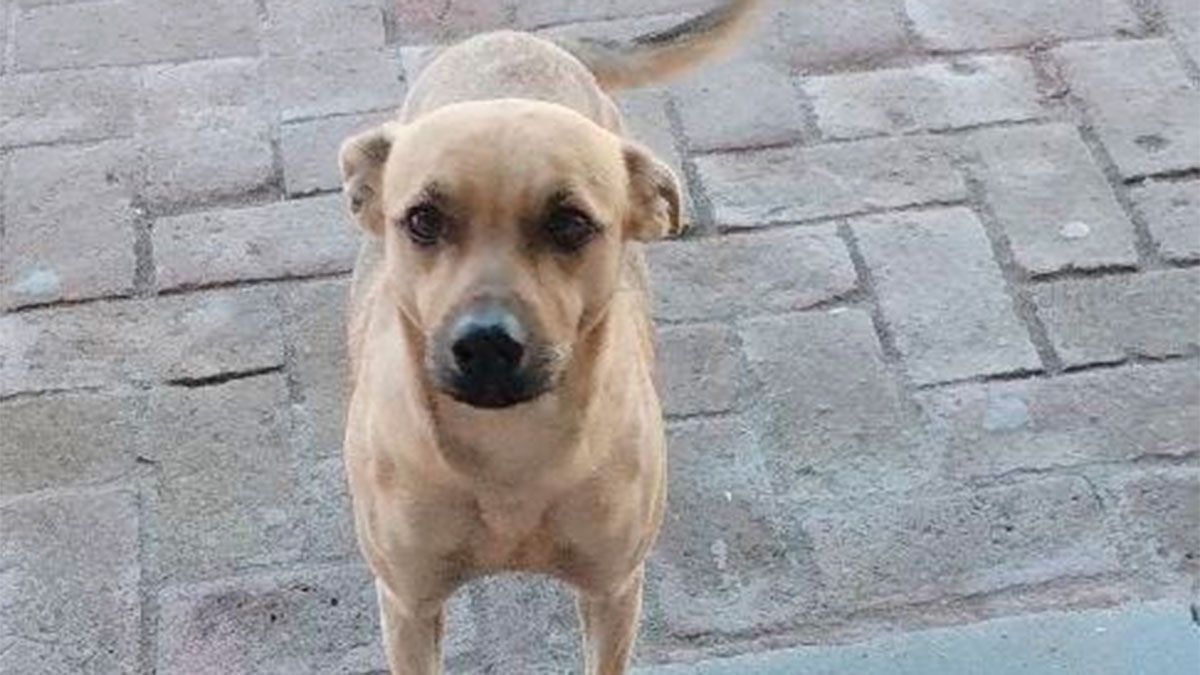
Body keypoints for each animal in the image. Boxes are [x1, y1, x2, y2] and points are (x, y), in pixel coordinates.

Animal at [338, 2, 761, 672]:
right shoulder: (408, 605)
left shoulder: (614, 591)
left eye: (570, 224)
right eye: (423, 220)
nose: (486, 344)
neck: (511, 454)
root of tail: (521, 39)